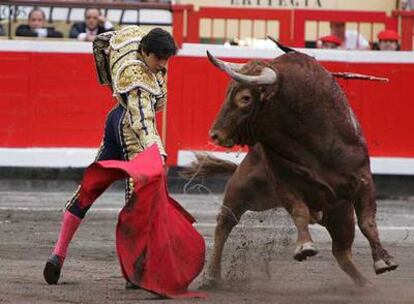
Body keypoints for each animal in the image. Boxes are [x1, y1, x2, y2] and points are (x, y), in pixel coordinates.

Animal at [187, 42, 398, 288]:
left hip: (339, 212)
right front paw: (304, 246)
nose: (215, 134)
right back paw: (212, 276)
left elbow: (367, 222)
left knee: (342, 252)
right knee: (225, 222)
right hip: (243, 189)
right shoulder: (284, 182)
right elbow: (299, 211)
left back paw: (365, 285)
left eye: (245, 98)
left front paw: (384, 261)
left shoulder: (363, 179)